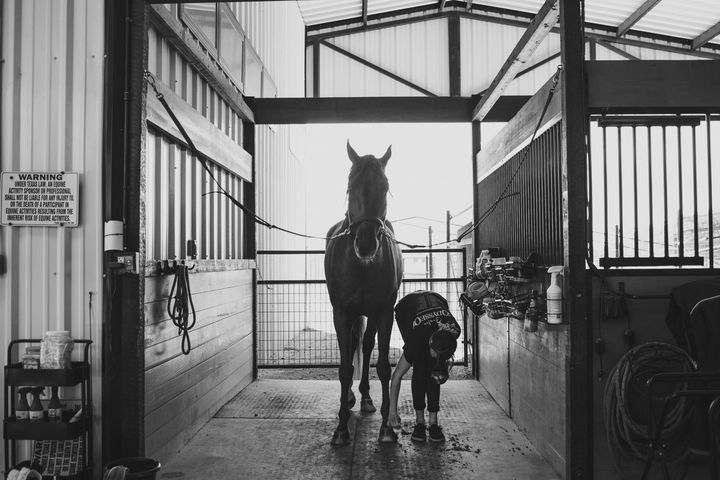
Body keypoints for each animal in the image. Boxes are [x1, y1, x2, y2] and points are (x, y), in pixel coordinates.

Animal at [324, 141, 404, 445]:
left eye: (385, 186)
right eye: (349, 186)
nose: (366, 244)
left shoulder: (384, 313)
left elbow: (382, 366)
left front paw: (386, 429)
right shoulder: (341, 313)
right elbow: (345, 367)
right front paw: (341, 429)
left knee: (367, 345)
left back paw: (367, 399)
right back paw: (348, 400)